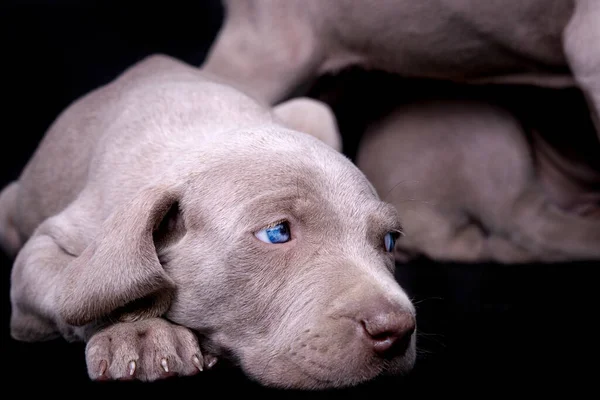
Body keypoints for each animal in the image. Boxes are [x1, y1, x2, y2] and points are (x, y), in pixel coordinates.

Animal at [0, 54, 414, 390]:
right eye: (277, 233)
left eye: (390, 241)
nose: (397, 329)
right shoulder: (42, 251)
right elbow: (83, 285)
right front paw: (139, 333)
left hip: (315, 111)